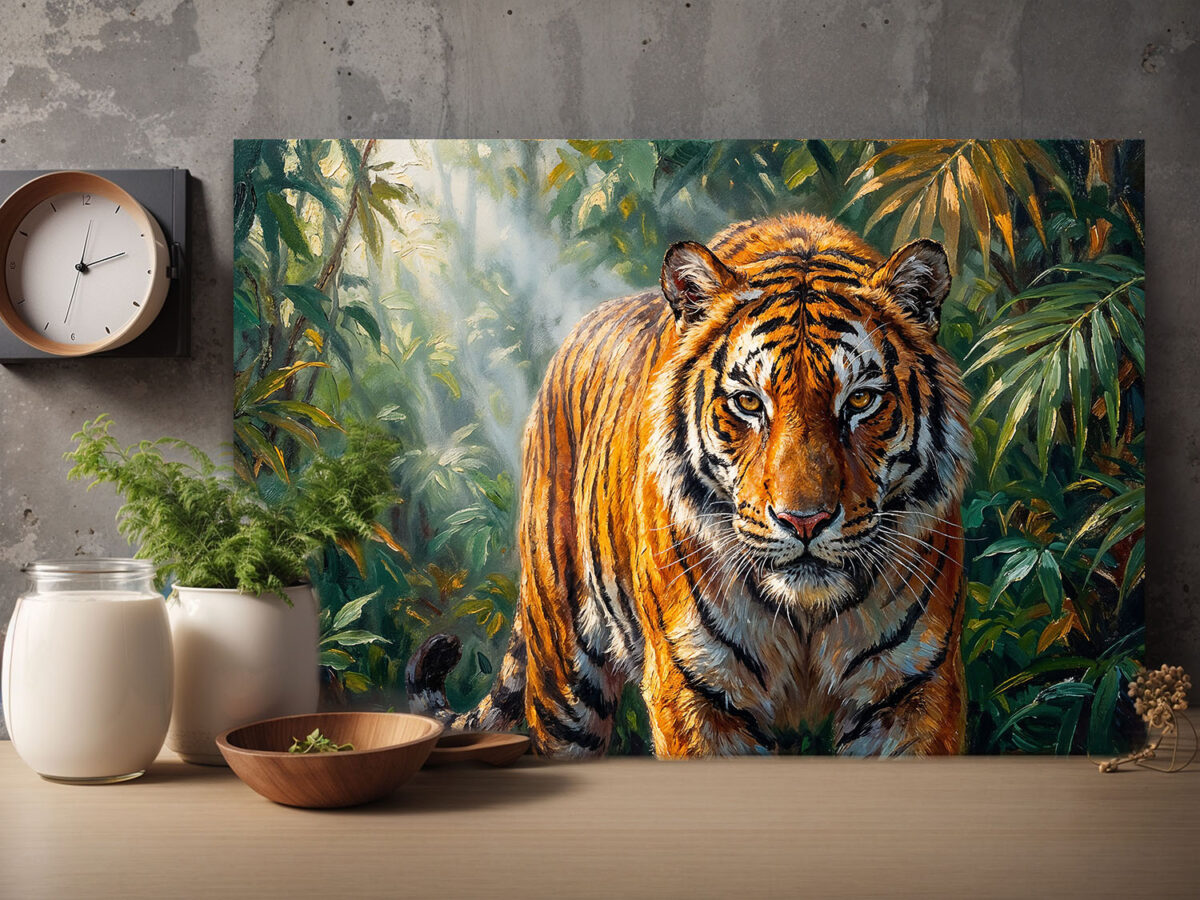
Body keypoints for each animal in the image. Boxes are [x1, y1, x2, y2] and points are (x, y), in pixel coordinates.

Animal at [407, 212, 973, 758]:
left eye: (859, 400)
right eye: (748, 402)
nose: (804, 521)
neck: (805, 615)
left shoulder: (911, 687)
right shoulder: (697, 689)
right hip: (562, 681)